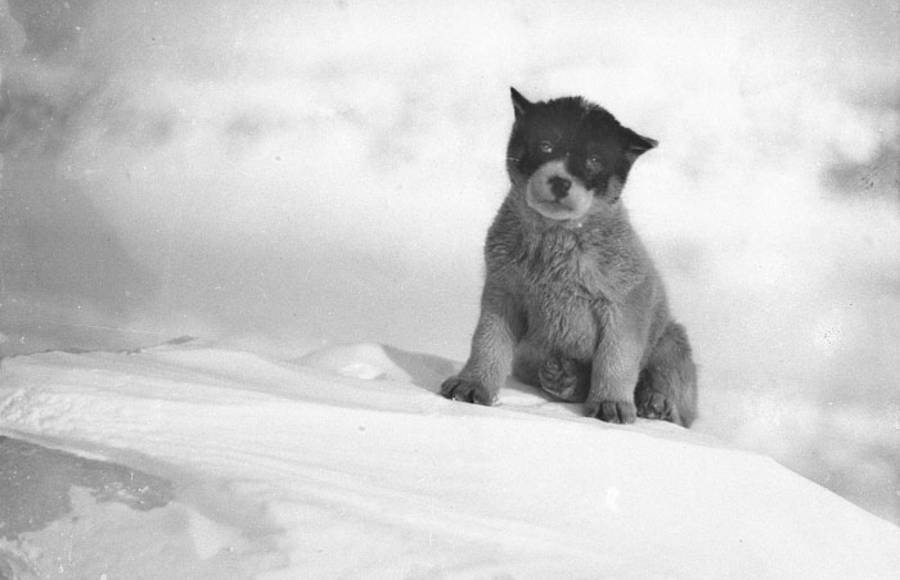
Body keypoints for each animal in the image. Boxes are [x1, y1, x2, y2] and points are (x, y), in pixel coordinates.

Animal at [440, 89, 700, 426]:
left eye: (594, 161)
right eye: (546, 145)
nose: (561, 181)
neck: (556, 241)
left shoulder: (624, 304)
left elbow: (616, 358)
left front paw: (611, 404)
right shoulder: (502, 293)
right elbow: (487, 343)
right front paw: (471, 384)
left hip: (671, 340)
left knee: (676, 400)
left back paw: (655, 402)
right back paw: (566, 378)